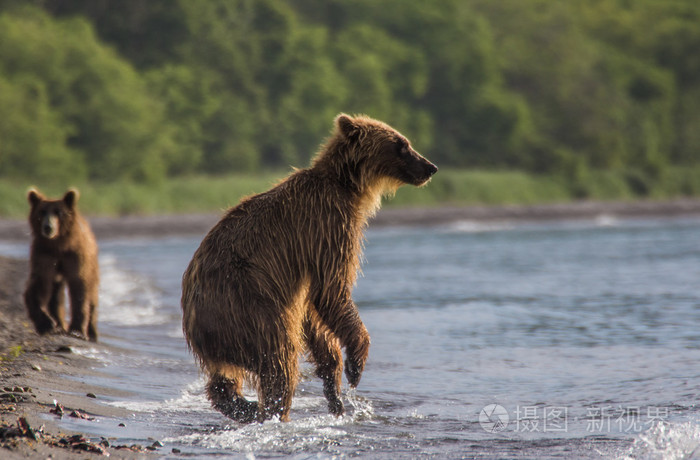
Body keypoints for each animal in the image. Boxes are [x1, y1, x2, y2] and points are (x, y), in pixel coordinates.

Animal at [24, 187, 100, 342]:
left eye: (58, 212)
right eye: (42, 211)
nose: (48, 227)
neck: (59, 244)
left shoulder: (75, 256)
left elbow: (79, 288)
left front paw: (77, 330)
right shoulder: (44, 255)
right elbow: (38, 284)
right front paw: (46, 324)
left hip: (92, 264)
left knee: (92, 294)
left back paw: (92, 332)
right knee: (56, 296)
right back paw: (59, 325)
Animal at [182, 113, 438, 422]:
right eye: (401, 144)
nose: (430, 167)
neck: (349, 188)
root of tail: (192, 317)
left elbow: (312, 315)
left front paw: (335, 384)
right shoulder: (328, 227)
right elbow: (331, 290)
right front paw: (356, 364)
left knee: (228, 379)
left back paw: (243, 405)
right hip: (246, 303)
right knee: (279, 358)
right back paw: (271, 410)